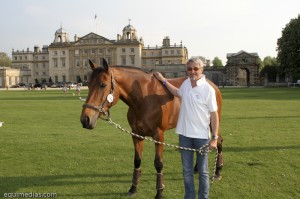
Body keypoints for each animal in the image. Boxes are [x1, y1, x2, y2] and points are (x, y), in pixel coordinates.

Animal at [79, 59, 223, 199]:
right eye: (88, 84)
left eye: (103, 85)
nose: (85, 119)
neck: (144, 98)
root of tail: (213, 85)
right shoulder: (136, 134)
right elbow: (137, 161)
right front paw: (133, 187)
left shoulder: (158, 135)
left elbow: (158, 163)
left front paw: (159, 191)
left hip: (213, 123)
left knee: (218, 141)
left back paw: (217, 171)